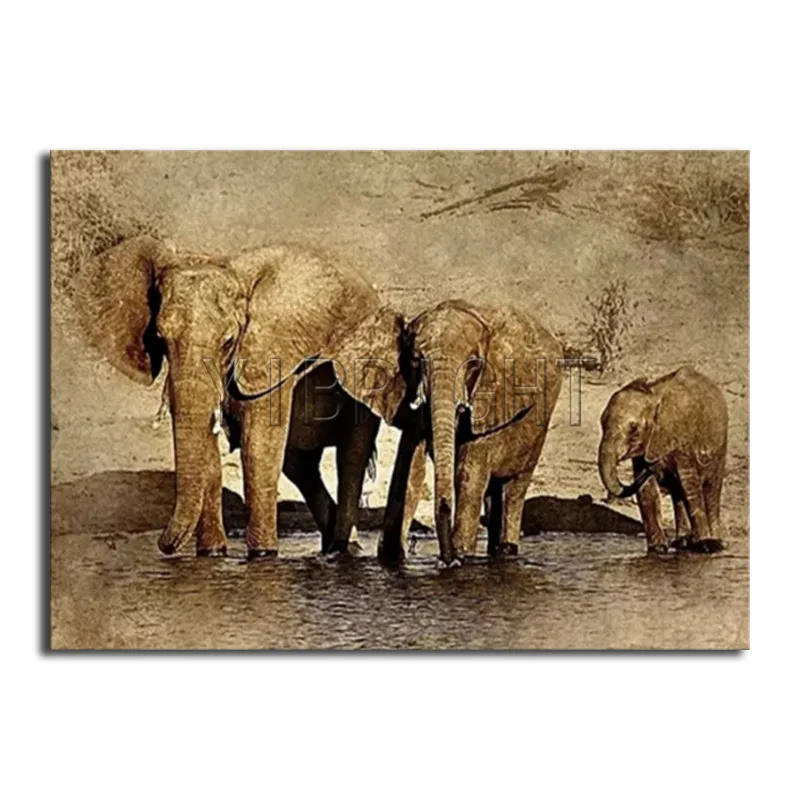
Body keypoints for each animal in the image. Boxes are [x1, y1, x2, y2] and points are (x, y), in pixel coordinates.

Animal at [76, 236, 382, 558]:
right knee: (300, 465)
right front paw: (211, 554)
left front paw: (262, 556)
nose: (164, 547)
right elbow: (208, 451)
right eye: (160, 337)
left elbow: (257, 448)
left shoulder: (270, 357)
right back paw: (334, 547)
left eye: (228, 342)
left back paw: (344, 550)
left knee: (351, 457)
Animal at [332, 299, 564, 564]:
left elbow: (467, 473)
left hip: (539, 427)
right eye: (415, 361)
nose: (448, 559)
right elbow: (410, 468)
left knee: (513, 489)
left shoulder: (492, 402)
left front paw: (461, 557)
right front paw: (392, 558)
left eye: (474, 364)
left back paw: (506, 550)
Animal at [597, 366, 728, 554]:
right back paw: (682, 543)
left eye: (634, 428)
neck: (653, 396)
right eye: (602, 423)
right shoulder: (646, 448)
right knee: (678, 493)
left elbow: (690, 486)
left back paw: (717, 544)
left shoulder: (682, 439)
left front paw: (707, 545)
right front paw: (658, 549)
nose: (652, 468)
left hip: (719, 449)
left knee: (710, 489)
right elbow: (647, 490)